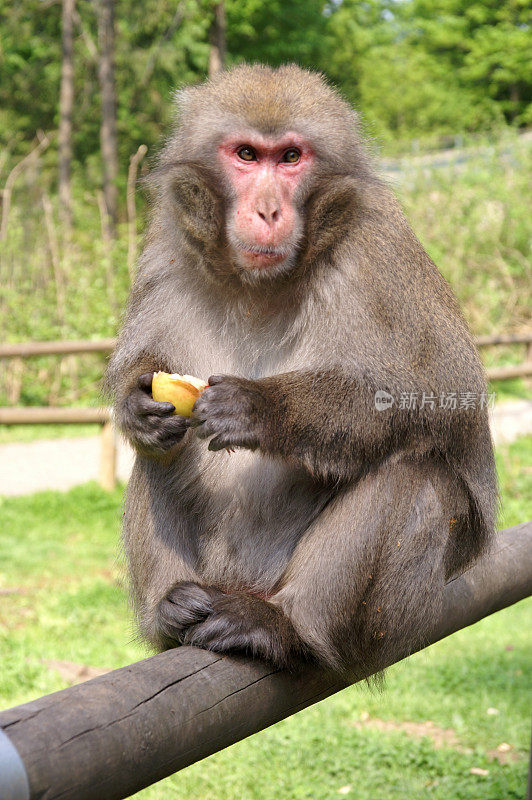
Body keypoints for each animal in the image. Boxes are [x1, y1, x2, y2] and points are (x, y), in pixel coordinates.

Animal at [105, 65, 498, 680]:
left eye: (291, 157)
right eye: (247, 154)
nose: (268, 211)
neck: (260, 284)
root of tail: (242, 582)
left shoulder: (379, 252)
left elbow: (442, 394)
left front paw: (261, 407)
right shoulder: (165, 250)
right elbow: (142, 371)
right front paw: (135, 404)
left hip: (380, 612)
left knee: (417, 477)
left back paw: (285, 627)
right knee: (160, 457)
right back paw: (172, 609)